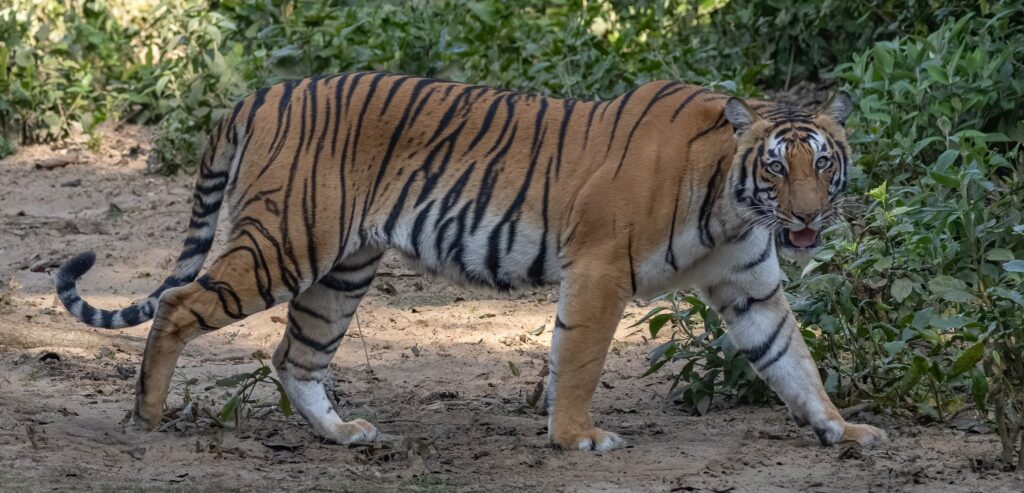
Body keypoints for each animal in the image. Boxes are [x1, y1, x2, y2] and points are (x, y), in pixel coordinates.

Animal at [55, 71, 888, 451]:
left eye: (823, 162)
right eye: (777, 167)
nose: (808, 217)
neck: (732, 203)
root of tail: (260, 93)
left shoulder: (750, 289)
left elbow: (794, 362)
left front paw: (843, 428)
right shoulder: (598, 269)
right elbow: (579, 359)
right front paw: (576, 436)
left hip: (342, 269)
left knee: (296, 353)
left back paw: (344, 434)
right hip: (283, 243)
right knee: (177, 305)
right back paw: (146, 418)